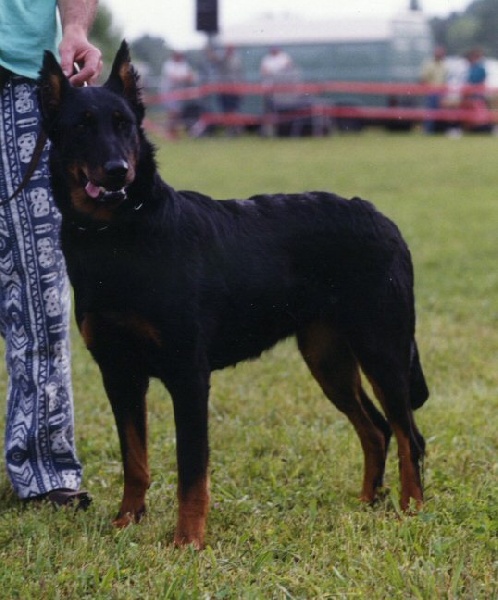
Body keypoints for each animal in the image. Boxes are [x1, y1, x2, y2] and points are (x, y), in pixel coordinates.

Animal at [38, 42, 428, 549]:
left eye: (124, 124)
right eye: (82, 127)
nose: (117, 172)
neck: (119, 236)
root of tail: (382, 219)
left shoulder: (188, 374)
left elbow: (191, 470)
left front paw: (187, 540)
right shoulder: (120, 373)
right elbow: (135, 460)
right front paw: (128, 520)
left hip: (382, 349)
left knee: (408, 435)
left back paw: (411, 510)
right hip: (329, 359)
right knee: (378, 429)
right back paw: (367, 504)